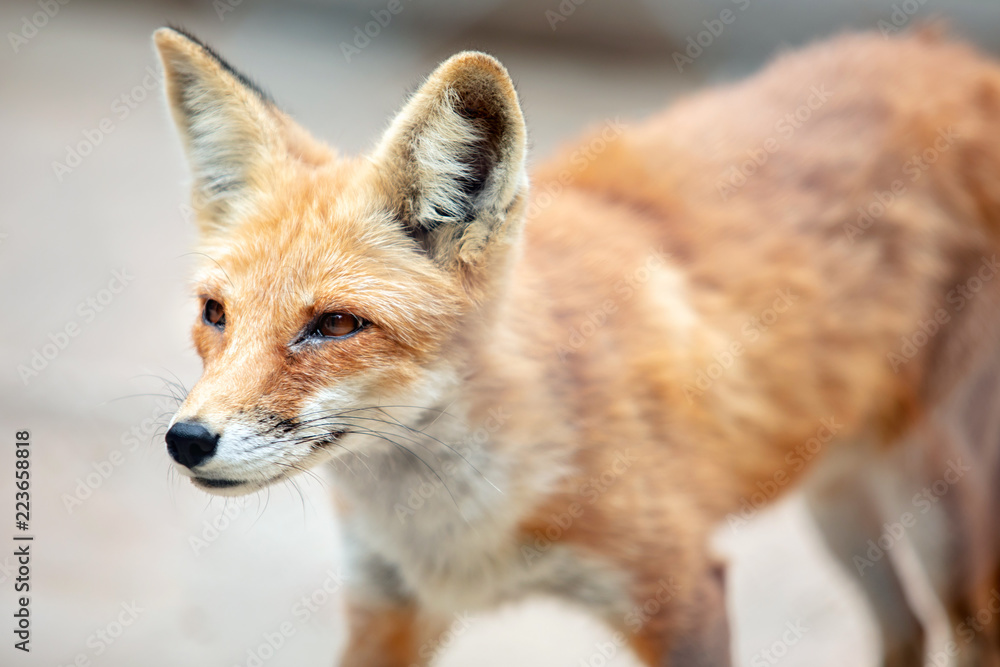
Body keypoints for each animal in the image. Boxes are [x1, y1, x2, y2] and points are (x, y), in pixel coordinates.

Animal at [154, 25, 1000, 667]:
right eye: (215, 313)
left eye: (335, 324)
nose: (187, 439)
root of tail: (952, 53)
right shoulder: (388, 601)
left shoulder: (681, 593)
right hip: (837, 496)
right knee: (907, 627)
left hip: (939, 508)